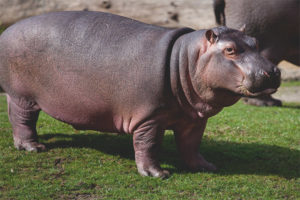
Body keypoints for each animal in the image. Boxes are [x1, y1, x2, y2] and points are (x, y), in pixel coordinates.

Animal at [0, 10, 282, 177]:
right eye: (230, 50)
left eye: (256, 42)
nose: (273, 71)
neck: (185, 59)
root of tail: (9, 29)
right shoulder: (149, 118)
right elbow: (148, 144)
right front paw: (158, 174)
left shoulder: (193, 119)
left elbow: (191, 145)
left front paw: (207, 167)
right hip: (23, 96)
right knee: (22, 120)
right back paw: (33, 148)